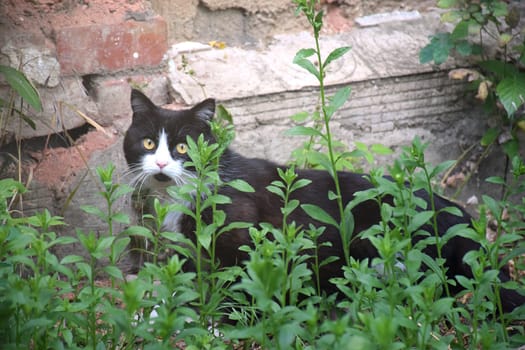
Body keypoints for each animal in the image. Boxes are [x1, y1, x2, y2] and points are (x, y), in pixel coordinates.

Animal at [124, 89, 524, 314]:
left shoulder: (240, 239)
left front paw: (213, 320)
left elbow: (234, 281)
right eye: (148, 143)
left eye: (182, 148)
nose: (161, 164)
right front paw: (158, 313)